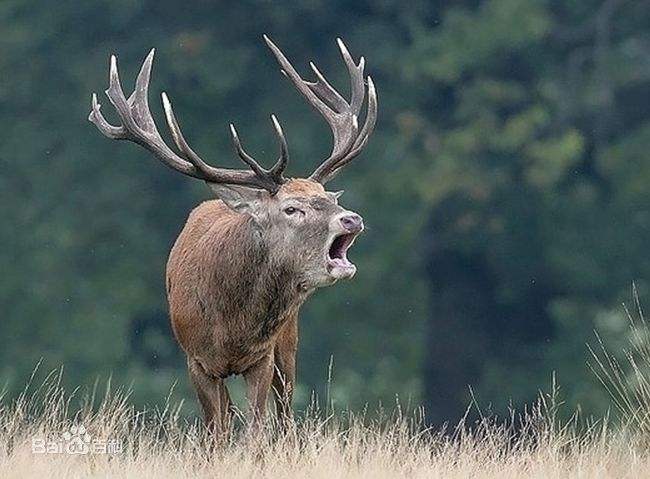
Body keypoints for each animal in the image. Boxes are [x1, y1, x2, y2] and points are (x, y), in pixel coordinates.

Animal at [88, 35, 378, 436]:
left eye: (329, 197)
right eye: (292, 208)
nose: (351, 219)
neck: (232, 324)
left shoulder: (262, 357)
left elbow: (255, 429)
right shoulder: (196, 360)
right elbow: (217, 432)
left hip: (289, 341)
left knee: (285, 414)